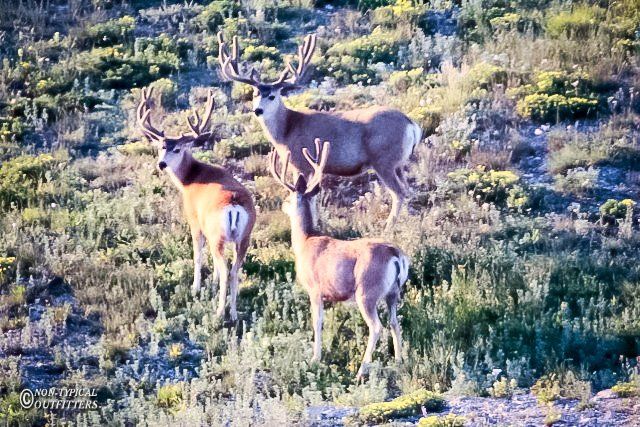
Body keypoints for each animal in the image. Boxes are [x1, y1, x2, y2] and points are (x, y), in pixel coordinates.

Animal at [136, 87, 256, 322]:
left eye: (177, 149)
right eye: (161, 147)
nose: (161, 164)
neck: (190, 179)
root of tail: (234, 205)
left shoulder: (194, 221)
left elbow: (198, 255)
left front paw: (196, 288)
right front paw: (211, 284)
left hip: (218, 234)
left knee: (226, 270)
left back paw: (219, 313)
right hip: (243, 237)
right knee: (234, 270)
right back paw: (233, 314)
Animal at [217, 32, 422, 230]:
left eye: (273, 96)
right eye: (255, 94)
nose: (257, 110)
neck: (287, 129)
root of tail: (411, 124)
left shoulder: (301, 164)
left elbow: (308, 195)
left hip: (384, 161)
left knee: (399, 192)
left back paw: (388, 227)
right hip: (398, 164)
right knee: (408, 190)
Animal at [269, 138, 410, 380]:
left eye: (288, 197)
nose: (283, 205)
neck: (305, 240)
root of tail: (395, 255)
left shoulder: (315, 289)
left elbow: (317, 322)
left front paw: (315, 358)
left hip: (367, 292)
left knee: (377, 327)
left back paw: (361, 371)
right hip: (393, 292)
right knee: (394, 322)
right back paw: (399, 361)